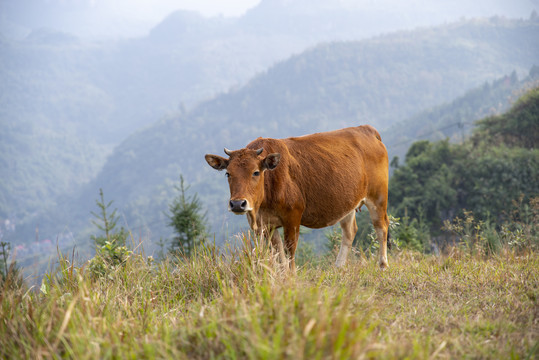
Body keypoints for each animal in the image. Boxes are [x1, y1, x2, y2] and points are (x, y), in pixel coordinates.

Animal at [205, 125, 390, 268]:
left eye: (256, 172)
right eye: (228, 174)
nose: (238, 204)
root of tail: (366, 129)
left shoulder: (293, 216)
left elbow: (290, 250)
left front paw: (292, 277)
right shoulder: (264, 225)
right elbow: (277, 253)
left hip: (378, 196)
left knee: (381, 226)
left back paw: (382, 265)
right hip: (348, 202)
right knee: (350, 231)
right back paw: (338, 267)